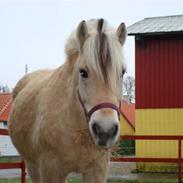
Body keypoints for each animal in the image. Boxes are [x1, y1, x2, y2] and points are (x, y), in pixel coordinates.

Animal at [7, 19, 126, 183]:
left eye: (122, 72)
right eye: (83, 72)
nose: (105, 130)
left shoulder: (97, 170)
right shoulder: (50, 170)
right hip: (32, 164)